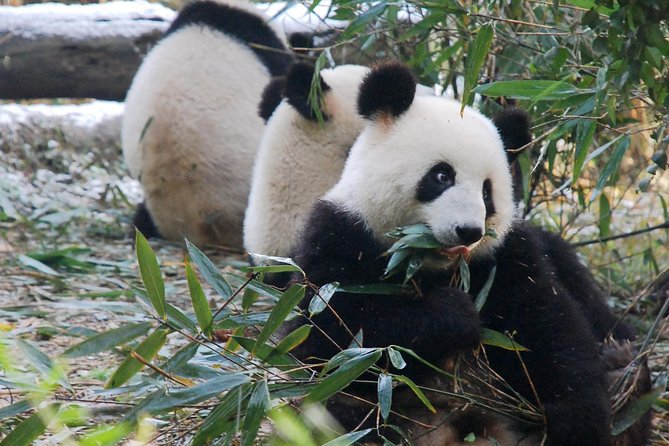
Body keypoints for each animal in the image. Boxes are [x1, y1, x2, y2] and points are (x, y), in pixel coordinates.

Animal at [284, 62, 650, 446]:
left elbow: (550, 329)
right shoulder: (338, 238)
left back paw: (625, 377)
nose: (469, 231)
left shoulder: (506, 258)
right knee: (338, 409)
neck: (431, 265)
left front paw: (575, 421)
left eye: (487, 192)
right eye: (441, 175)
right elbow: (331, 337)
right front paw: (454, 314)